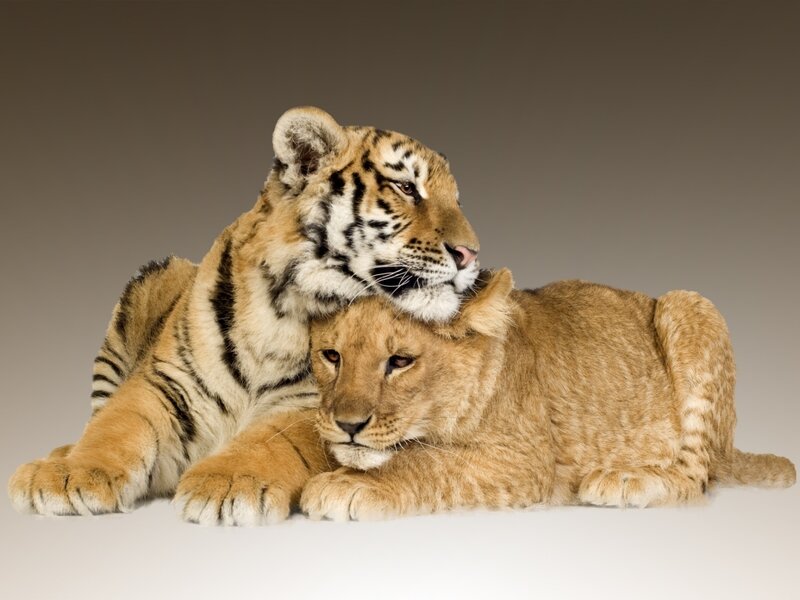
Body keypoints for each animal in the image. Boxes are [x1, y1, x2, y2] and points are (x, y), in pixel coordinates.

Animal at [8, 106, 480, 525]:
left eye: (457, 200)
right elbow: (118, 423)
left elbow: (272, 438)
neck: (283, 307)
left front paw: (226, 484)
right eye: (406, 188)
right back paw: (56, 456)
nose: (471, 254)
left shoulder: (315, 403)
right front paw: (67, 476)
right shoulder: (164, 381)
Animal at [294, 268, 795, 520]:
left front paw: (349, 484)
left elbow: (425, 460)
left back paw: (624, 480)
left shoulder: (527, 460)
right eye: (331, 356)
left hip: (688, 303)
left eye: (400, 361)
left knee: (697, 477)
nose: (348, 425)